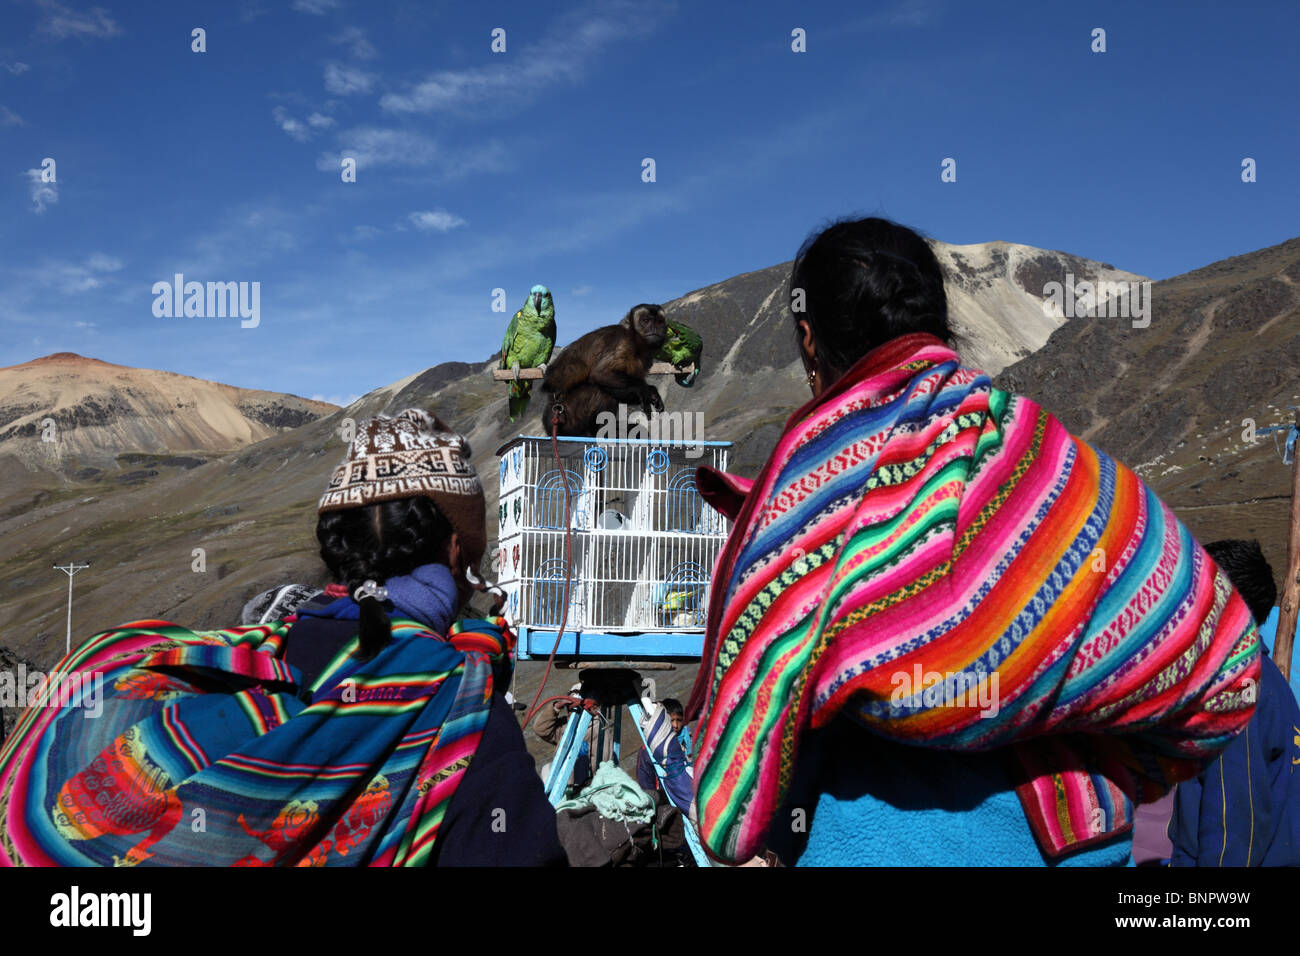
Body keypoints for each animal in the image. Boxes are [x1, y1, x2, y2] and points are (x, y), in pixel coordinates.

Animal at [543, 306, 670, 437]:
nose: (654, 327)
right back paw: (600, 430)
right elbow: (601, 374)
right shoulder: (623, 342)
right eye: (645, 320)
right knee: (599, 388)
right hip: (570, 417)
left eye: (659, 322)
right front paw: (644, 389)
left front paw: (652, 392)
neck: (636, 342)